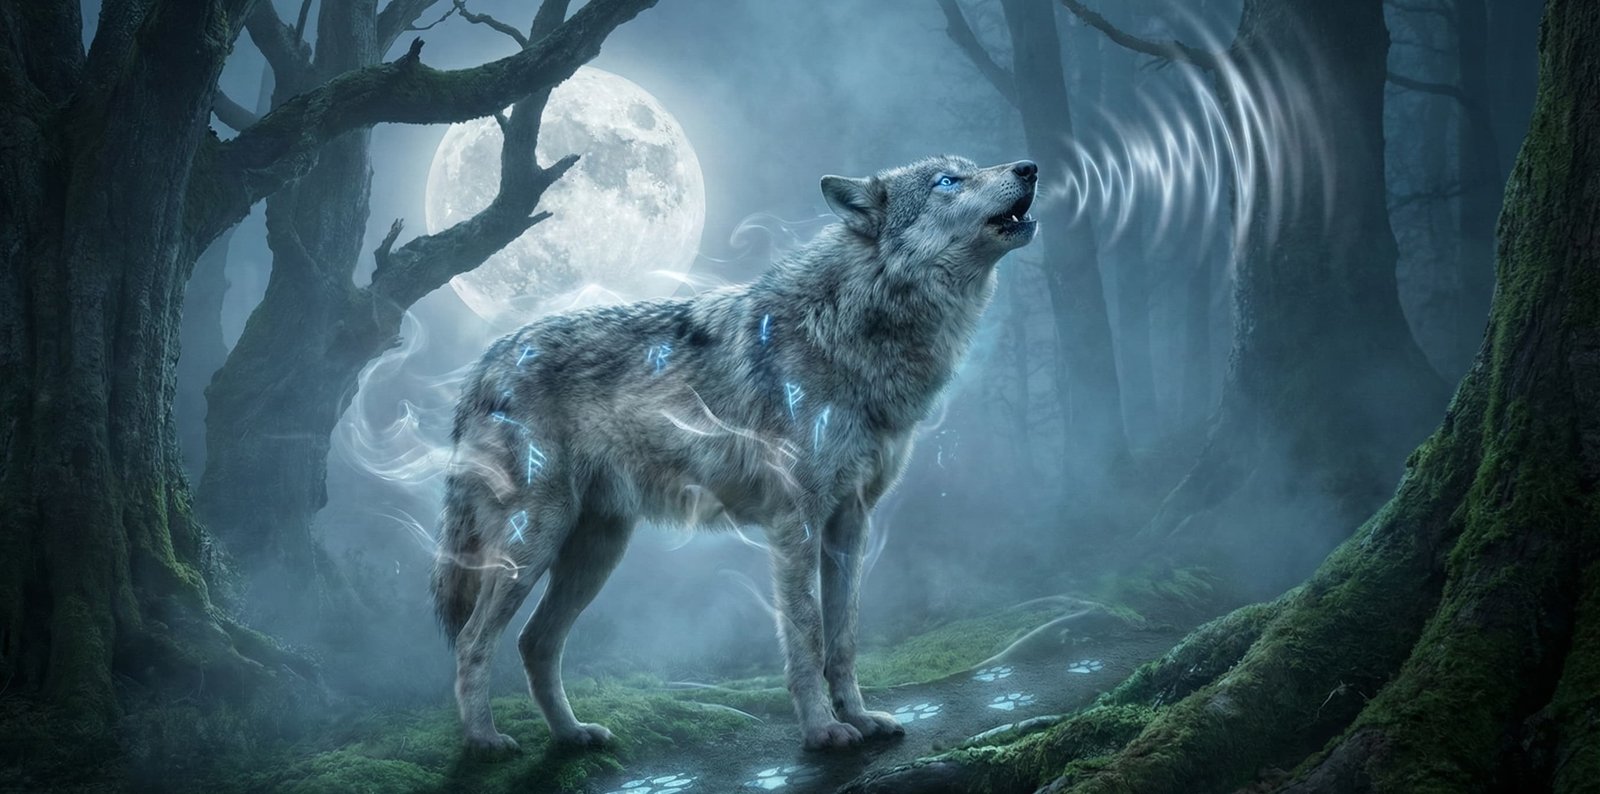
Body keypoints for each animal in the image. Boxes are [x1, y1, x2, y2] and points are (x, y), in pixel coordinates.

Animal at [431, 155, 1039, 753]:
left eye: (970, 166)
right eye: (947, 181)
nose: (1030, 168)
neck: (852, 325)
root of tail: (483, 365)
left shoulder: (851, 520)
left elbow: (844, 637)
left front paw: (861, 719)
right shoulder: (795, 522)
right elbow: (807, 635)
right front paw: (823, 731)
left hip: (597, 550)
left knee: (535, 642)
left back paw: (573, 735)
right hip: (534, 542)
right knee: (473, 640)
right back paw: (485, 743)